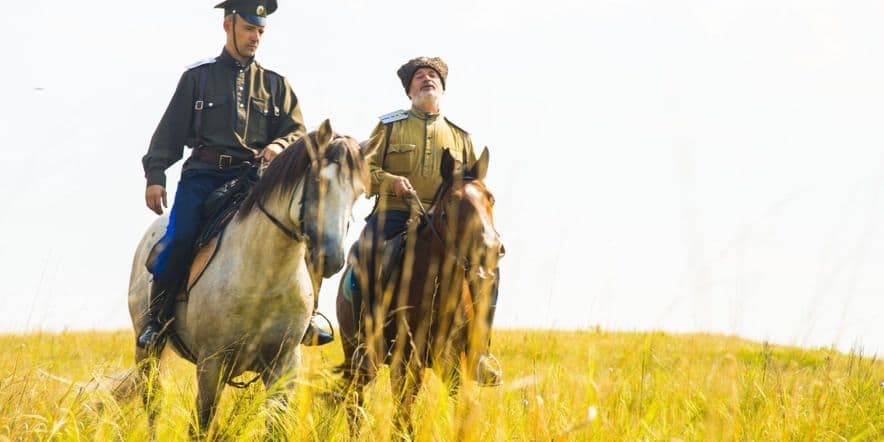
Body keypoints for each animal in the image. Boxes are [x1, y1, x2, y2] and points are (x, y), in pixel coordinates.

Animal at [119, 120, 378, 436]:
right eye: (319, 182)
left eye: (358, 192)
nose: (333, 258)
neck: (264, 281)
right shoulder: (211, 364)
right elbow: (201, 425)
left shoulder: (284, 367)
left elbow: (274, 428)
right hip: (148, 354)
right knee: (153, 404)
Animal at [336, 147, 504, 430]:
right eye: (453, 201)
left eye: (490, 198)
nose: (491, 248)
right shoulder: (404, 361)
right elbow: (402, 418)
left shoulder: (453, 363)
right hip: (357, 355)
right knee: (354, 405)